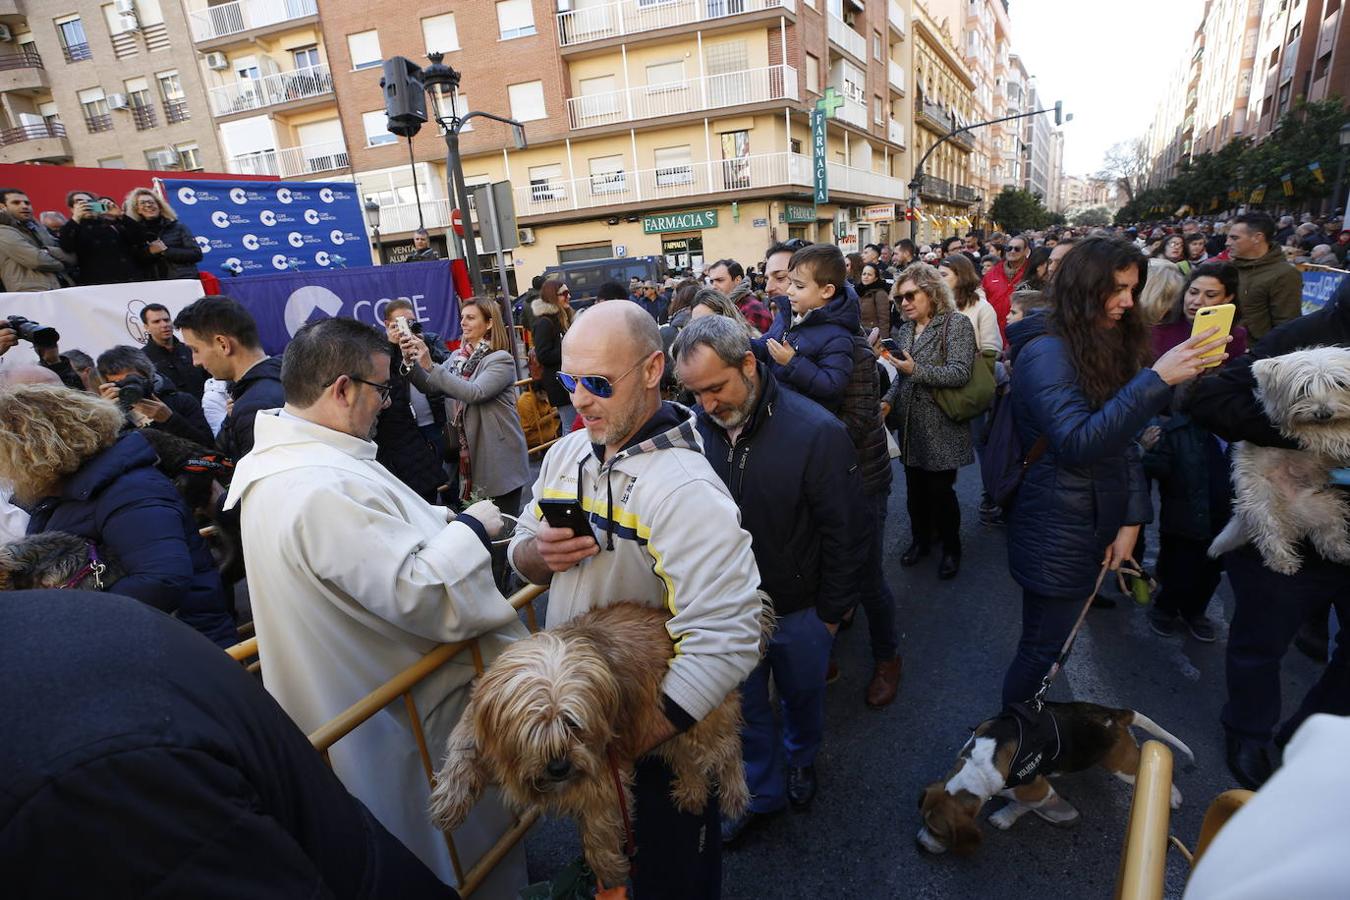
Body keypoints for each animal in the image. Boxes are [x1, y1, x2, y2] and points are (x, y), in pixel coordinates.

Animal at [429, 601, 750, 890]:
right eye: (531, 732)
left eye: (573, 724)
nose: (559, 768)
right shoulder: (480, 721)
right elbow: (463, 748)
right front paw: (449, 801)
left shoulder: (604, 771)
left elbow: (598, 827)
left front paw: (608, 869)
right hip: (662, 728)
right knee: (688, 760)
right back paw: (692, 792)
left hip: (700, 720)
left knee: (726, 749)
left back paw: (734, 794)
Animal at [918, 701, 1193, 858]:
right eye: (923, 821)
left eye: (938, 832)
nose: (920, 844)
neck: (978, 767)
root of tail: (1112, 714)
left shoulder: (1038, 790)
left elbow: (1021, 806)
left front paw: (1004, 817)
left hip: (1120, 765)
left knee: (1144, 769)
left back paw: (1174, 797)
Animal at [1209, 348, 1350, 574]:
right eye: (1303, 389)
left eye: (1339, 383)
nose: (1323, 413)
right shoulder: (1298, 429)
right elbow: (1330, 434)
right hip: (1261, 503)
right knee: (1270, 534)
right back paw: (1283, 561)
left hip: (1323, 504)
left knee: (1329, 533)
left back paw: (1343, 552)